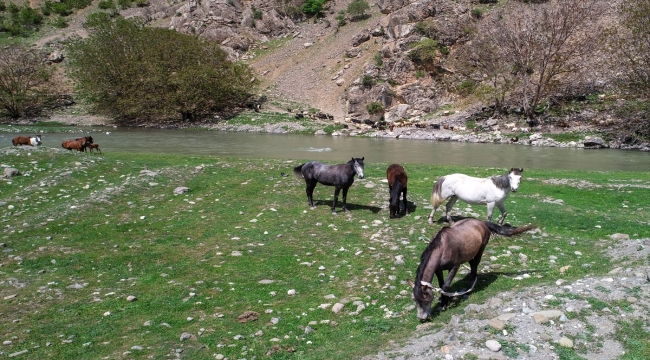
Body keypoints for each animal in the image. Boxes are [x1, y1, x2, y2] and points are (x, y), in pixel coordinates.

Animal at [408, 218, 536, 320]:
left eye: (426, 300)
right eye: (414, 300)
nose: (421, 318)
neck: (442, 248)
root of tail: (481, 222)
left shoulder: (454, 267)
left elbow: (446, 286)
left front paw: (445, 303)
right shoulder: (438, 270)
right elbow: (441, 285)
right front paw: (443, 303)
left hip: (480, 250)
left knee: (474, 269)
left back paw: (468, 291)